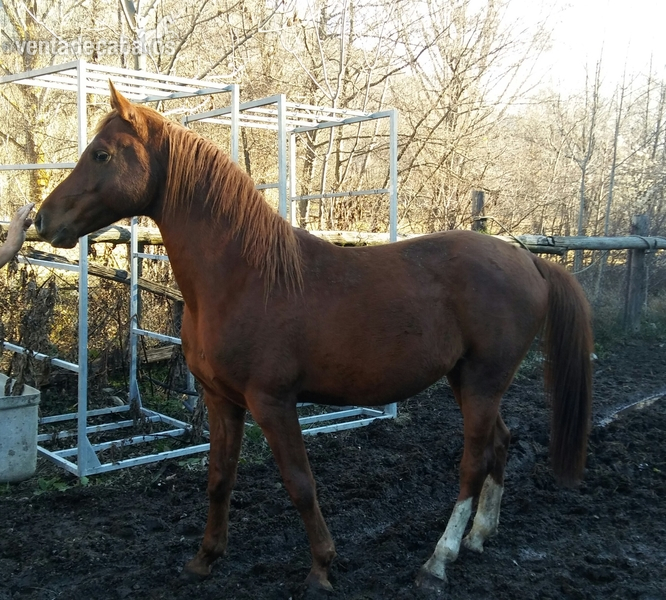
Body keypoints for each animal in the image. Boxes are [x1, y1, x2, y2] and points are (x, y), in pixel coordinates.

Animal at [35, 83, 593, 593]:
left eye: (101, 154)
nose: (42, 220)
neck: (242, 277)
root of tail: (529, 260)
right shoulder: (221, 400)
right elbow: (219, 479)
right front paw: (205, 559)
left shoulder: (273, 402)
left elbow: (300, 484)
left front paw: (321, 567)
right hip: (469, 381)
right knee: (501, 442)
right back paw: (480, 535)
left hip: (481, 382)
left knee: (473, 462)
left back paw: (439, 559)